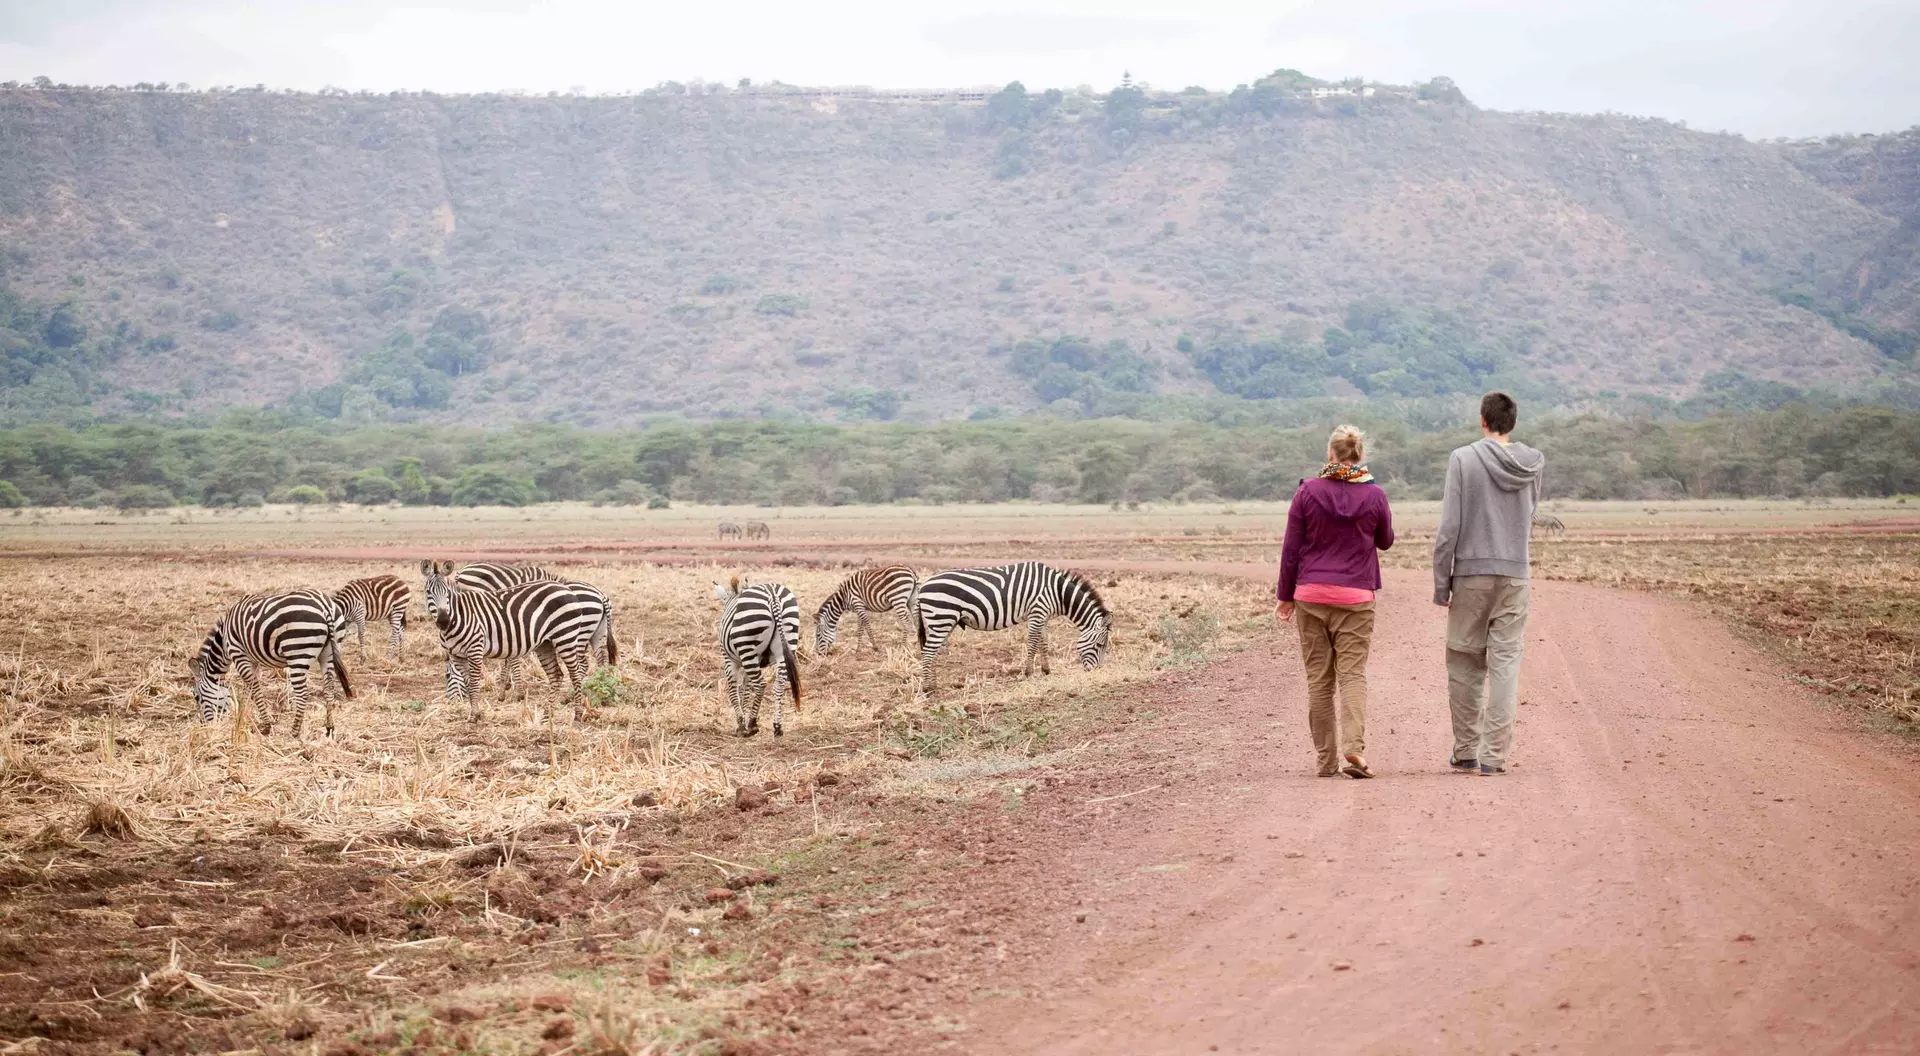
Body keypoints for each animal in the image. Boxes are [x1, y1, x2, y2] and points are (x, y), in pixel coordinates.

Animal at [191, 590, 353, 739]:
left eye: (197, 697)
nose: (204, 726)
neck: (224, 642)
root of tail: (325, 606)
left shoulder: (239, 654)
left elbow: (255, 691)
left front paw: (265, 727)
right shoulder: (253, 660)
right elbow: (249, 692)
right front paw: (243, 720)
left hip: (297, 652)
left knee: (302, 694)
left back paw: (293, 733)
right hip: (329, 653)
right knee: (329, 689)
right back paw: (329, 728)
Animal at [420, 561, 617, 719]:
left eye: (447, 676)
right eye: (428, 592)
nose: (451, 701)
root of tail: (601, 595)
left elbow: (495, 669)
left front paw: (511, 693)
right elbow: (503, 661)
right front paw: (502, 692)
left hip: (574, 635)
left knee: (580, 667)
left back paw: (576, 706)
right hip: (592, 635)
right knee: (597, 663)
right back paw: (592, 693)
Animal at [713, 576, 802, 737]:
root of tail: (773, 596)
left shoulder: (729, 660)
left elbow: (734, 690)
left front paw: (741, 723)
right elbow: (746, 688)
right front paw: (745, 713)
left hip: (747, 647)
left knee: (760, 684)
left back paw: (752, 725)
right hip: (786, 644)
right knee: (778, 685)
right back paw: (777, 726)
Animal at [914, 561, 1111, 696]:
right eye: (1100, 645)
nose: (1097, 671)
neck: (1058, 592)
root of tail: (924, 586)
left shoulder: (1043, 616)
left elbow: (1044, 643)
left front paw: (1046, 671)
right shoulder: (1037, 612)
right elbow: (1032, 643)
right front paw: (1028, 673)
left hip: (942, 621)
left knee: (932, 652)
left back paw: (934, 685)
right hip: (941, 617)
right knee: (928, 652)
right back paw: (928, 689)